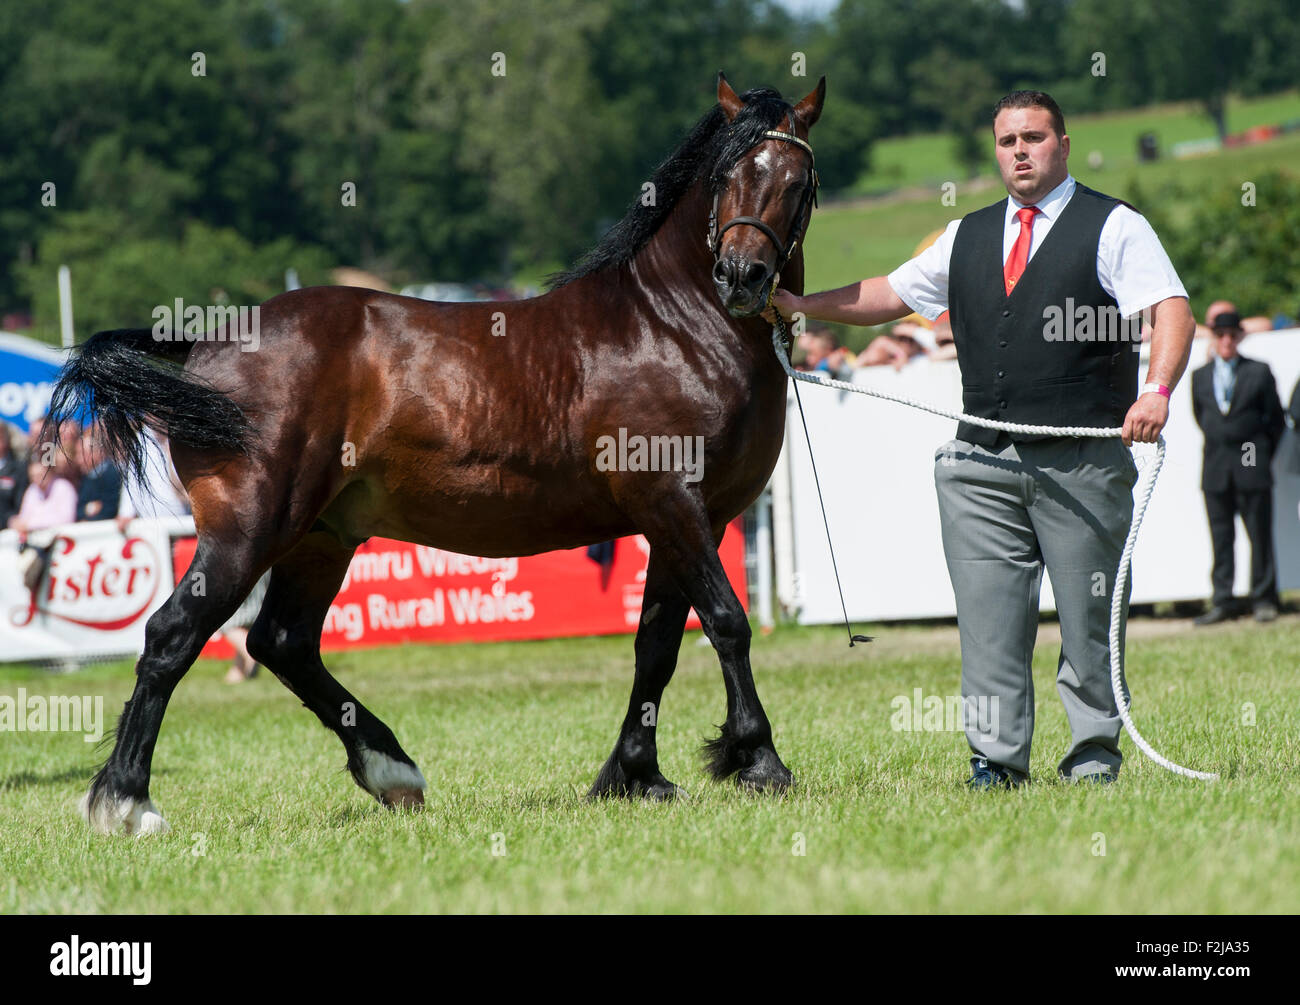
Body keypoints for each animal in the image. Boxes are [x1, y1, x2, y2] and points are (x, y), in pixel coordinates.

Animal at [50, 72, 826, 832]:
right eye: (727, 174)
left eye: (797, 180)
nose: (743, 277)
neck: (671, 325)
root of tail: (203, 344)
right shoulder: (671, 502)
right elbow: (726, 621)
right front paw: (758, 759)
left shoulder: (691, 518)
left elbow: (657, 645)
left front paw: (635, 775)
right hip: (248, 530)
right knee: (173, 635)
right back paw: (126, 799)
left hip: (321, 535)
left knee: (282, 640)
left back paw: (390, 770)